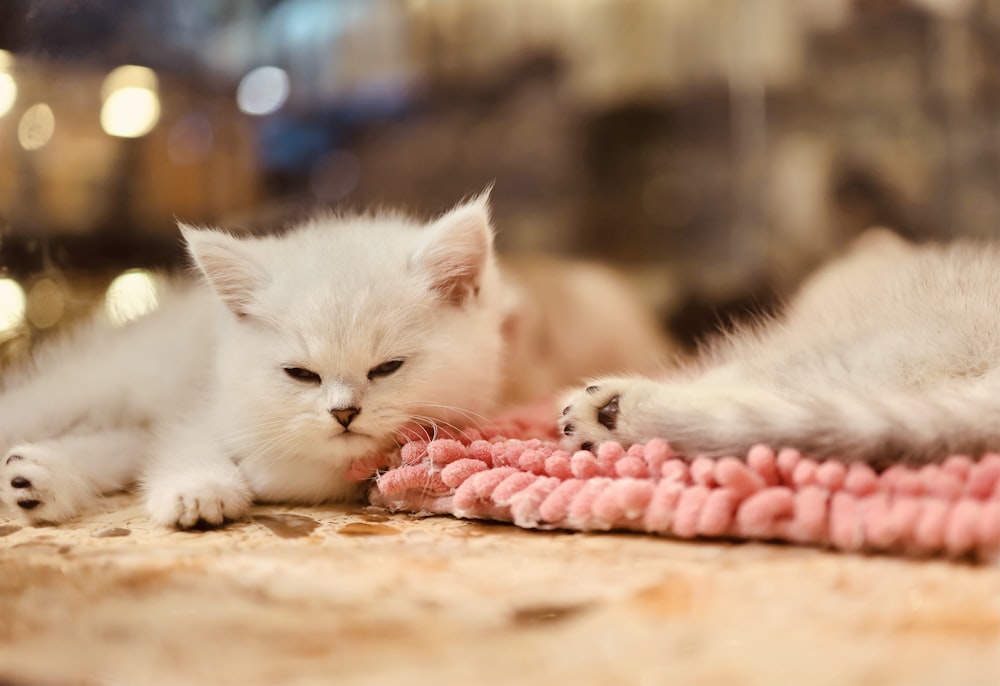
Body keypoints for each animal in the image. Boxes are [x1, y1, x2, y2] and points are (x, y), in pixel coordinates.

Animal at [1, 192, 672, 528]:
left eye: (387, 368)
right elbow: (186, 441)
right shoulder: (201, 405)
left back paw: (34, 481)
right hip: (102, 381)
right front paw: (200, 490)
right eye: (300, 374)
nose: (344, 412)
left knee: (123, 439)